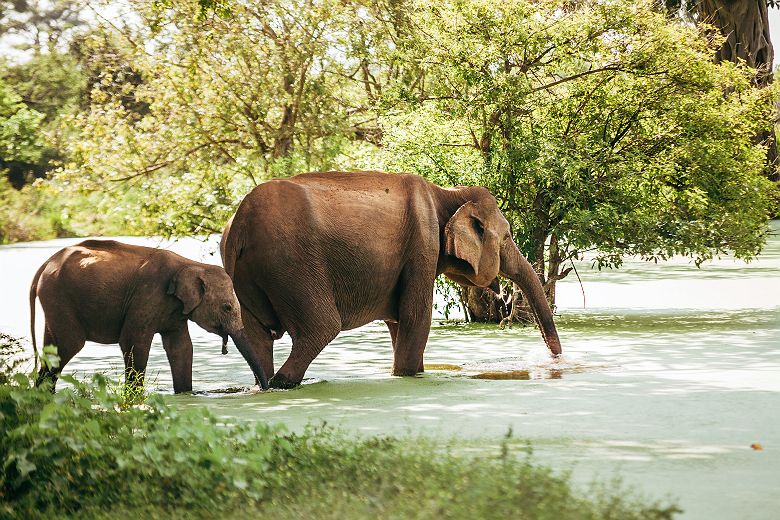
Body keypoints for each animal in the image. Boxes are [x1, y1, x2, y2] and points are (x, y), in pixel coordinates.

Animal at [29, 239, 269, 392]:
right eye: (227, 307)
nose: (261, 388)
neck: (191, 264)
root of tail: (44, 266)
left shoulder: (175, 310)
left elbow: (181, 347)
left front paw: (185, 395)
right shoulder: (147, 295)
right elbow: (134, 342)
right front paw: (133, 400)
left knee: (53, 346)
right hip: (59, 298)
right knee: (68, 346)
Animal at [221, 170, 562, 389]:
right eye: (506, 237)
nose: (553, 358)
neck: (447, 192)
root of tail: (240, 222)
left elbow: (398, 322)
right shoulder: (423, 246)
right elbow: (415, 318)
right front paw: (408, 376)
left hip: (248, 274)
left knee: (256, 334)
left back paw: (265, 384)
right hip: (293, 266)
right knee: (321, 328)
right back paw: (283, 382)